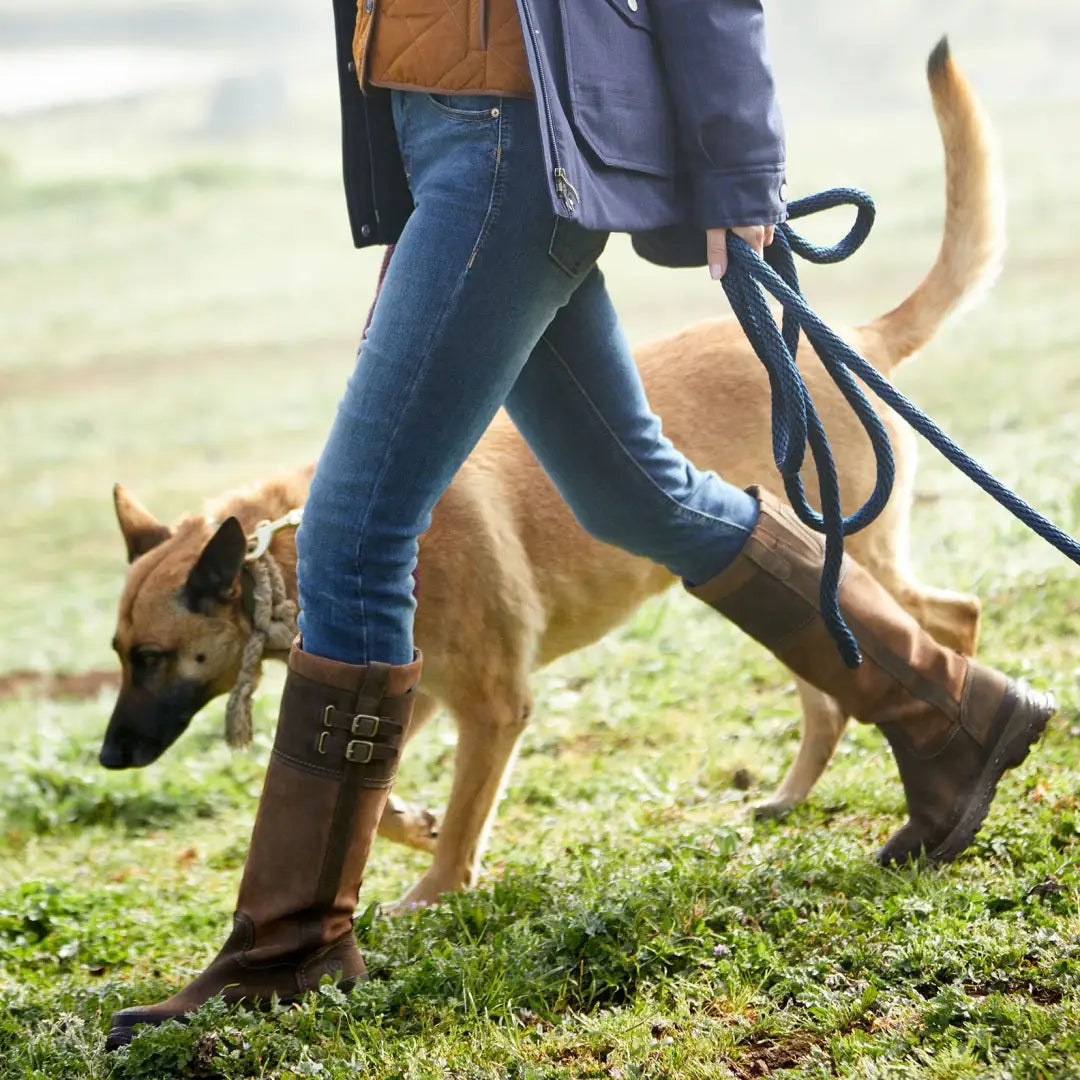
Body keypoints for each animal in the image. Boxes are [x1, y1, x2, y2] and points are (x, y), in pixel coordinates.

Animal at [101, 48, 1002, 911]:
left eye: (152, 656)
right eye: (117, 654)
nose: (108, 756)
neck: (279, 560)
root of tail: (852, 340)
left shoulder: (494, 703)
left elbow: (465, 815)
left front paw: (434, 890)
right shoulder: (422, 691)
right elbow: (374, 787)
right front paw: (413, 827)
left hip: (847, 556)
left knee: (951, 616)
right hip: (799, 574)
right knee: (833, 690)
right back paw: (799, 793)